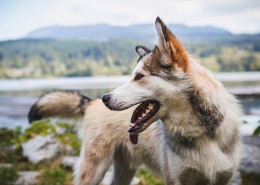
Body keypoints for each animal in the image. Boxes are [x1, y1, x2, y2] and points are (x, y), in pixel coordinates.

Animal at [29, 17, 242, 185]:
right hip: (94, 170)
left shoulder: (223, 178)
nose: (106, 98)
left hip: (124, 172)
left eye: (138, 77)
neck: (203, 134)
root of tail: (91, 102)